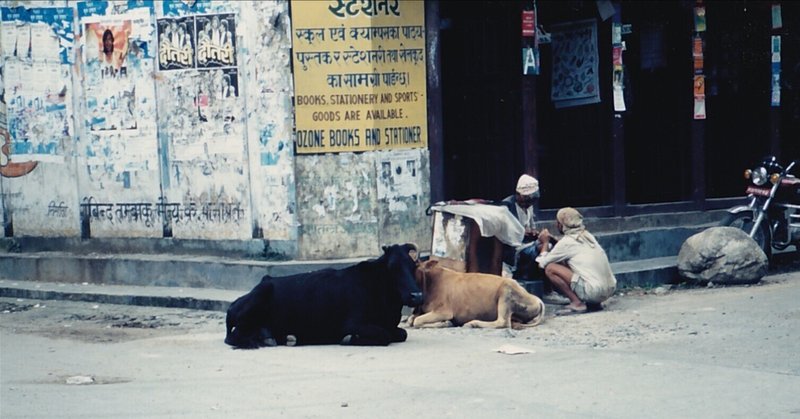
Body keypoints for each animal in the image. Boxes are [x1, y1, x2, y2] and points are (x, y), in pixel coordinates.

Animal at [225, 241, 424, 350]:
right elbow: (383, 335)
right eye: (393, 267)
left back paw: (283, 338)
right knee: (232, 337)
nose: (416, 295)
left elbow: (402, 333)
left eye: (413, 266)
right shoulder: (352, 323)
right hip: (257, 300)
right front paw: (350, 339)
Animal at [410, 260, 548, 330]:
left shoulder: (444, 311)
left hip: (506, 292)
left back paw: (473, 323)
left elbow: (416, 321)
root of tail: (536, 299)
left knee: (503, 322)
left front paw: (445, 323)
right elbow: (411, 319)